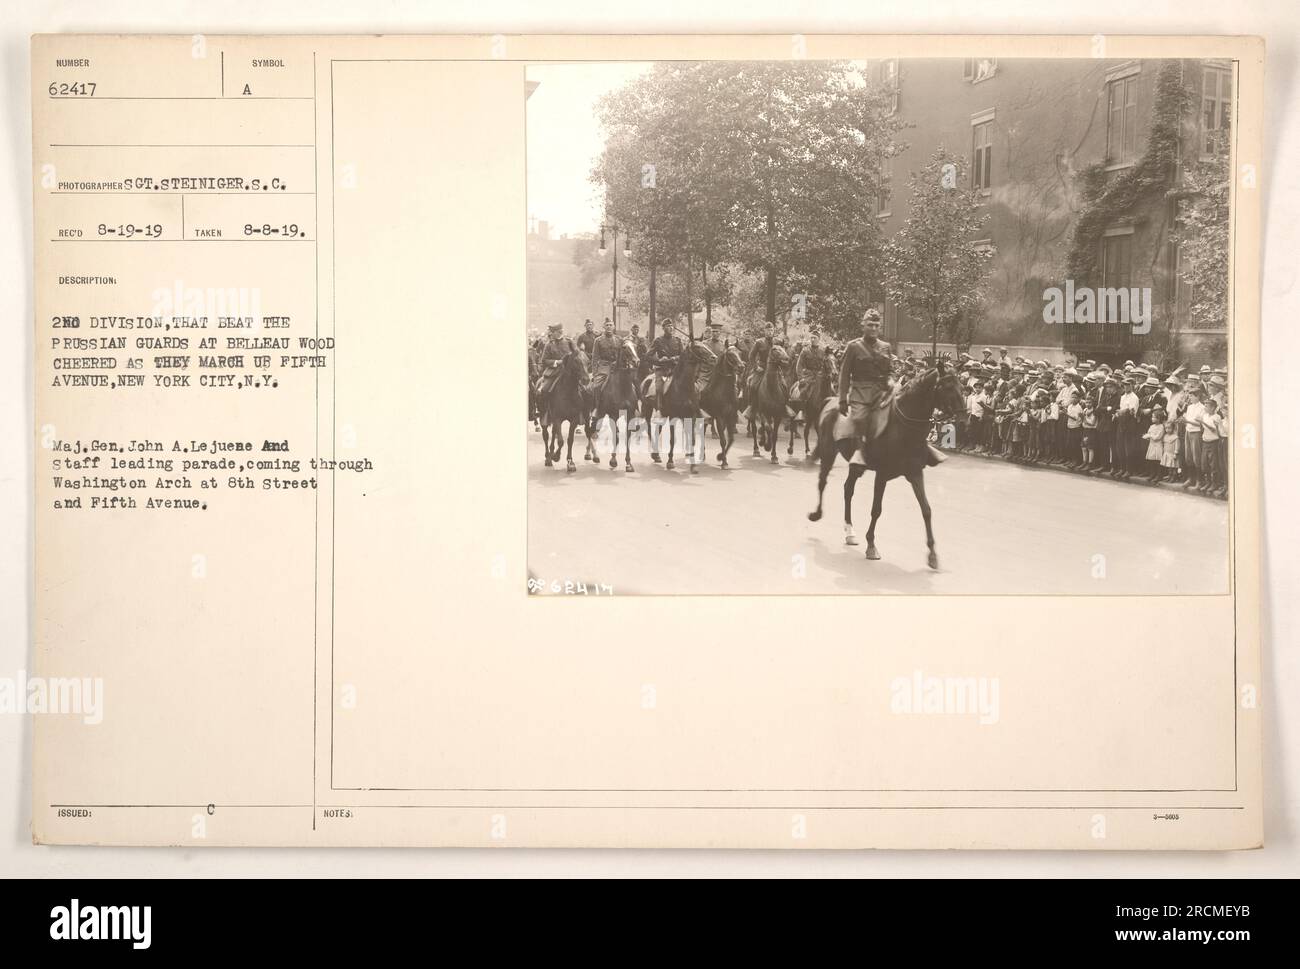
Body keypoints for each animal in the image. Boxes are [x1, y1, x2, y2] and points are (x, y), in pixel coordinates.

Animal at [595, 340, 644, 473]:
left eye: (635, 346)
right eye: (624, 347)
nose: (637, 361)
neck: (622, 387)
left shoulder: (630, 415)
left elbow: (627, 437)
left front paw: (628, 463)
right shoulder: (613, 415)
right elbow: (615, 437)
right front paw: (613, 461)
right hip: (600, 413)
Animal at [806, 366, 972, 569]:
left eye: (961, 387)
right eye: (947, 387)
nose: (964, 421)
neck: (904, 428)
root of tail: (831, 400)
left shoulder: (915, 473)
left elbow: (926, 510)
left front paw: (932, 555)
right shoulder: (882, 474)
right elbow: (876, 510)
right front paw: (871, 546)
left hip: (855, 465)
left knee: (848, 489)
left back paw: (850, 532)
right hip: (828, 451)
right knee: (823, 482)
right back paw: (817, 514)